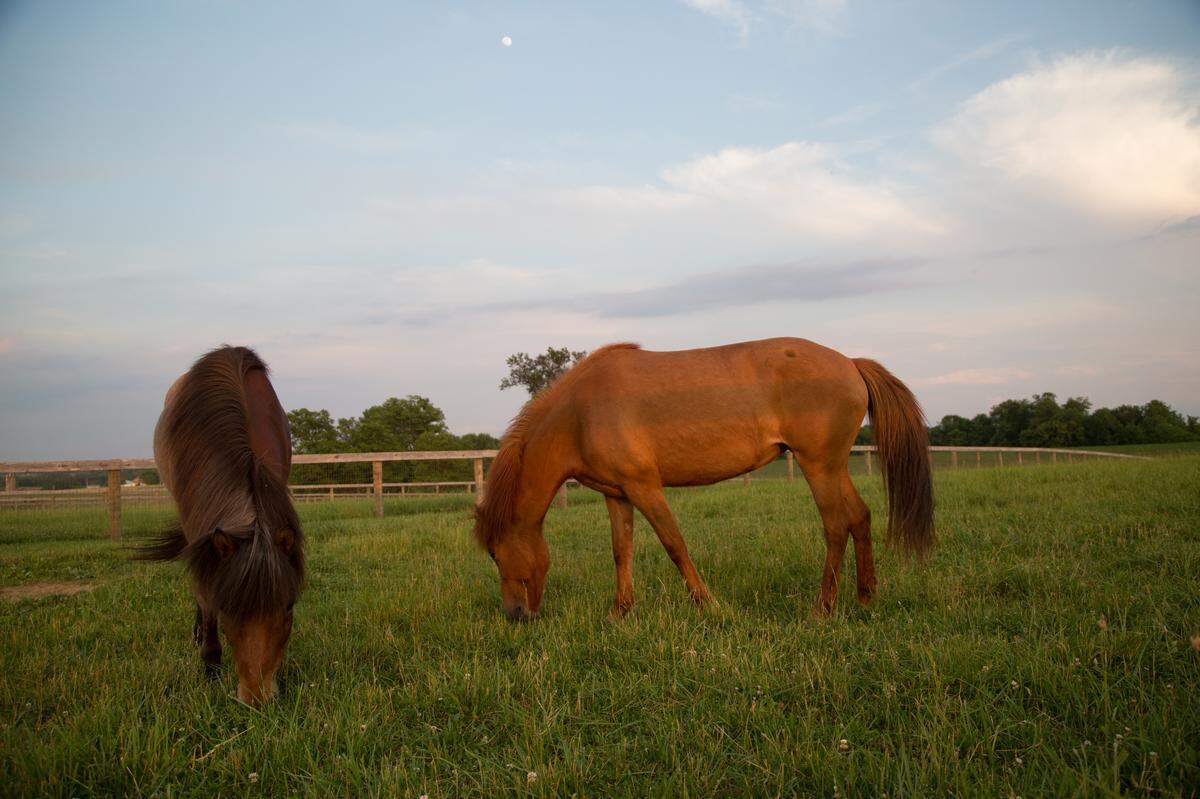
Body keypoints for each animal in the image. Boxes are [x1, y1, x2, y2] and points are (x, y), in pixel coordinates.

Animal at [474, 337, 933, 621]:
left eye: (495, 553)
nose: (515, 615)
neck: (580, 414)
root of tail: (851, 364)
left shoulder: (645, 487)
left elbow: (675, 545)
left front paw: (708, 605)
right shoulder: (617, 494)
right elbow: (621, 550)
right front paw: (619, 612)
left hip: (819, 466)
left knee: (837, 525)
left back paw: (822, 609)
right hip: (833, 466)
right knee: (860, 518)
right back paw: (865, 598)